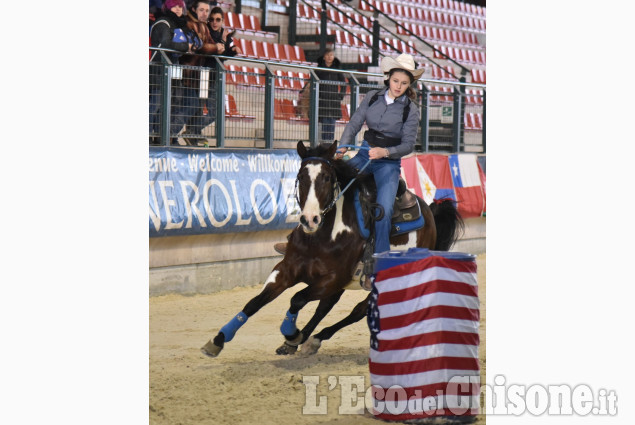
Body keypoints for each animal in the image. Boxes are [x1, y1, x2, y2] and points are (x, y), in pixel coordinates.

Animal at [201, 141, 464, 356]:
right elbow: (255, 302)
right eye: (301, 177)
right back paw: (300, 341)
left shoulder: (333, 278)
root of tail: (428, 211)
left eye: (327, 177)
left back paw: (312, 338)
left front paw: (290, 331)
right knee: (326, 307)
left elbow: (297, 298)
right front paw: (218, 339)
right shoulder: (286, 270)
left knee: (359, 310)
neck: (321, 236)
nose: (310, 219)